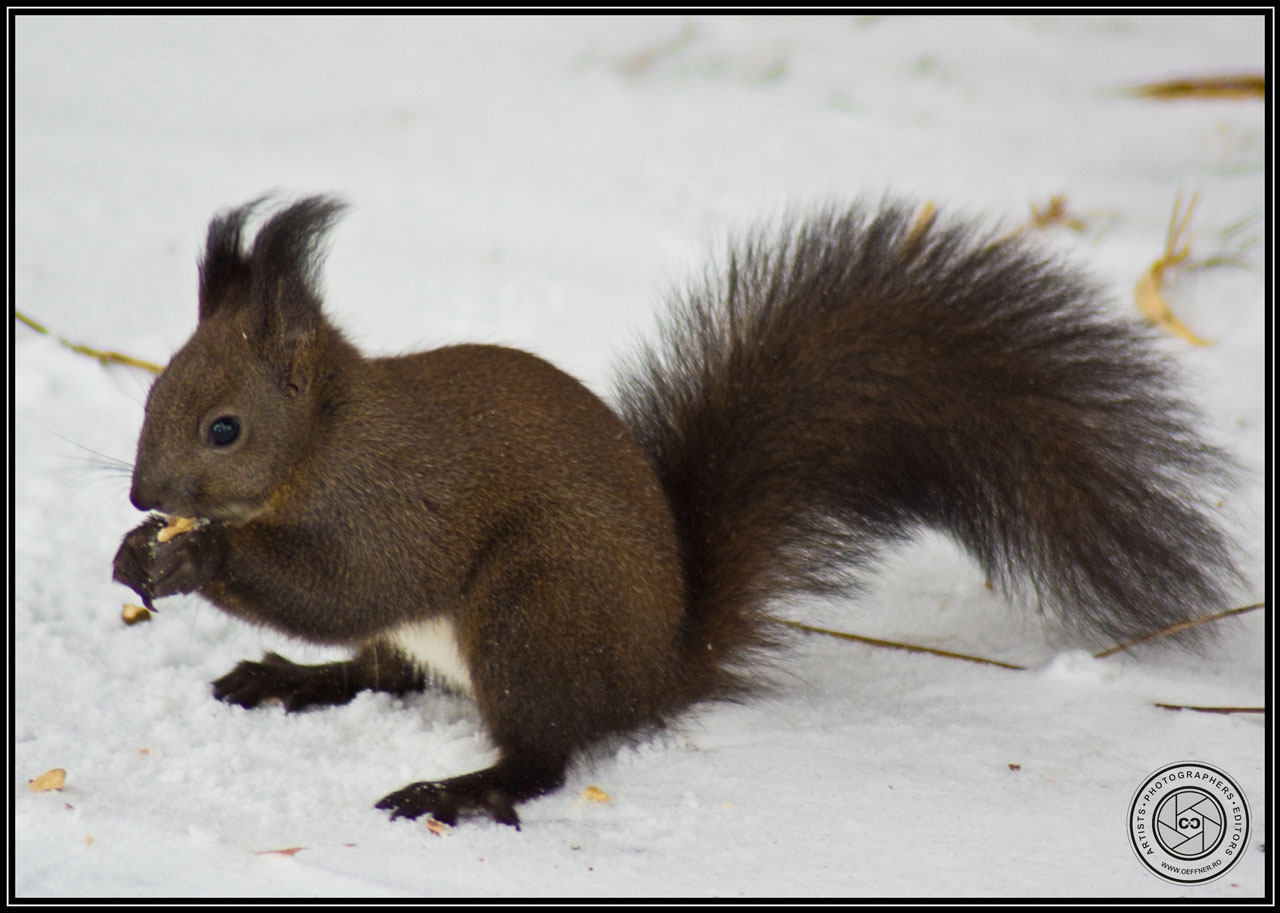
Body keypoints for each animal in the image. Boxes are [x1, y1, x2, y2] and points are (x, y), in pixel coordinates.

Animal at [112, 195, 1239, 829]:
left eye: (222, 428)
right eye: (150, 391)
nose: (142, 496)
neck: (322, 443)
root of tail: (659, 667)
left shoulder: (390, 501)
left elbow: (345, 584)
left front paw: (194, 559)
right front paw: (136, 554)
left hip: (534, 605)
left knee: (546, 751)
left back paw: (466, 789)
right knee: (385, 672)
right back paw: (291, 680)